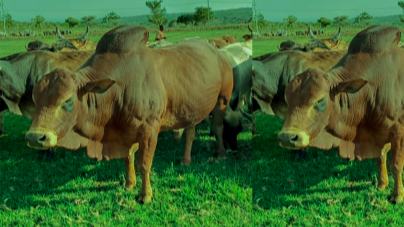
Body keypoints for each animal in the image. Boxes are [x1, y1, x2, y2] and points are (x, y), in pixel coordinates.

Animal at [25, 25, 234, 204]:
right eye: (35, 99)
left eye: (67, 100)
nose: (35, 137)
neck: (118, 86)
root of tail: (219, 52)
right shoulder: (125, 131)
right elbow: (128, 158)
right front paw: (129, 184)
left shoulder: (149, 129)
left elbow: (144, 164)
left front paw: (145, 195)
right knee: (190, 132)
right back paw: (186, 160)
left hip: (222, 100)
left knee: (218, 127)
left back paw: (221, 154)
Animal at [278, 25, 404, 204]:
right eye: (288, 99)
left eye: (320, 100)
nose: (287, 137)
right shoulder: (377, 133)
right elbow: (380, 158)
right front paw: (381, 184)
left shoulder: (398, 132)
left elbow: (396, 164)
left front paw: (397, 195)